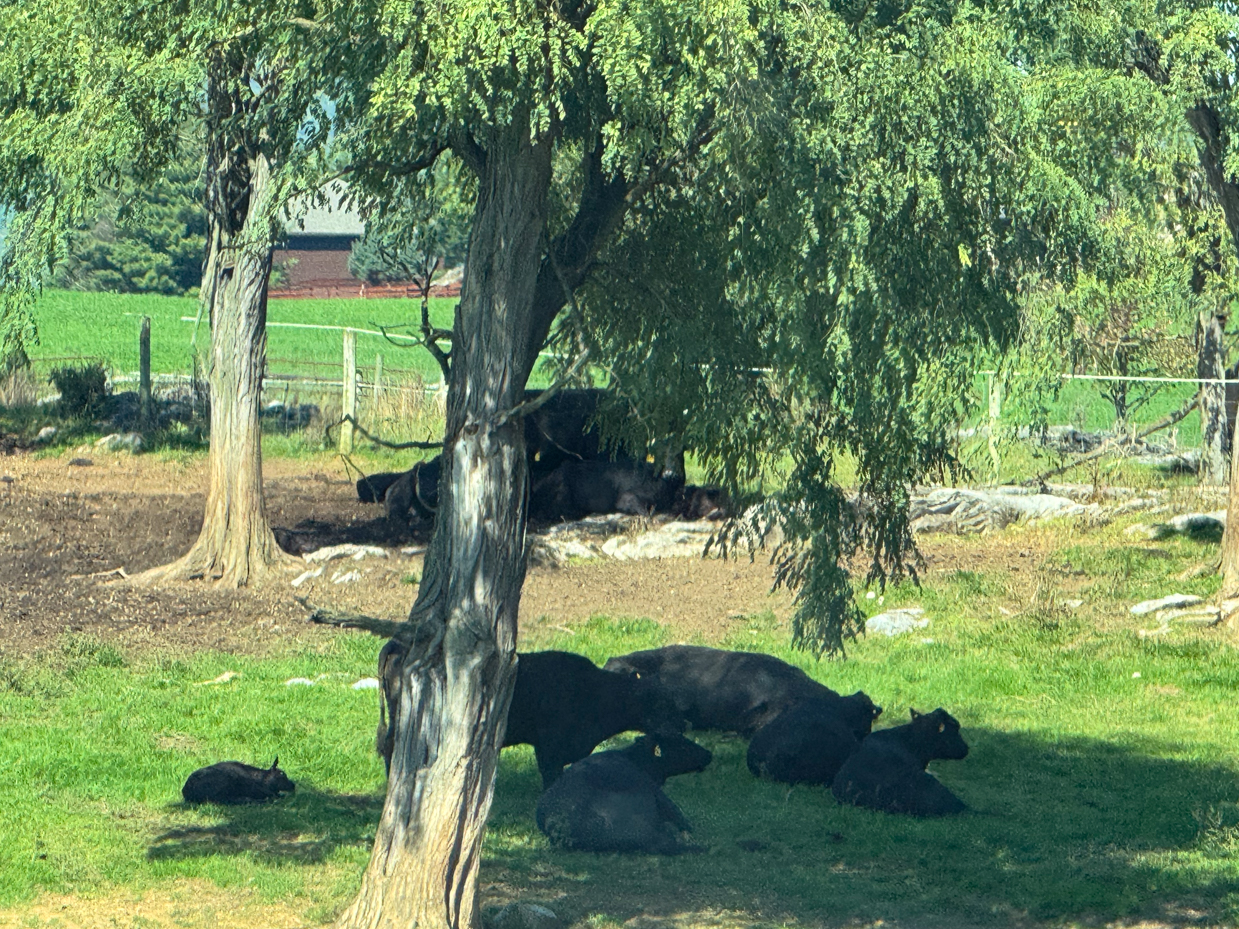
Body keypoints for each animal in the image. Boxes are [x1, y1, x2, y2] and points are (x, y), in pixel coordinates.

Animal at [376, 649, 688, 787]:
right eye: (657, 702)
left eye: (673, 701)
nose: (682, 727)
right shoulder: (548, 746)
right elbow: (550, 776)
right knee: (391, 748)